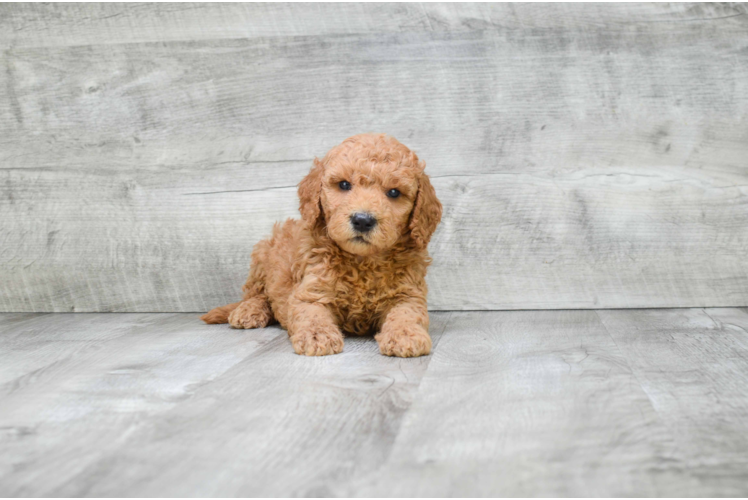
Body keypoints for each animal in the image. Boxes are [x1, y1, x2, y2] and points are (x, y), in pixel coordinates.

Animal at [202, 135, 442, 358]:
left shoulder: (408, 293)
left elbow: (407, 313)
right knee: (257, 294)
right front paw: (317, 336)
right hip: (262, 255)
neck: (362, 261)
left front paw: (405, 335)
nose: (362, 220)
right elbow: (312, 314)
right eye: (344, 184)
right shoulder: (311, 290)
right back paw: (248, 311)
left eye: (394, 193)